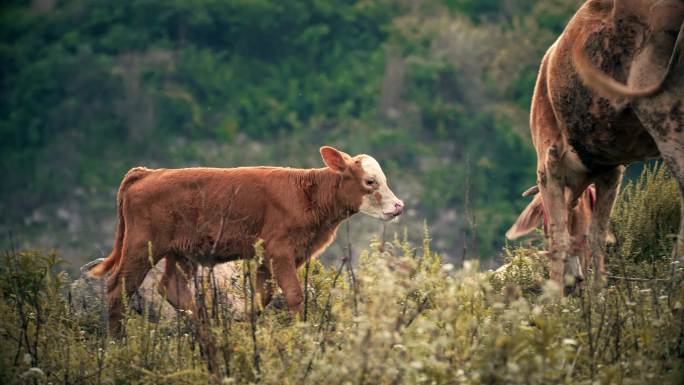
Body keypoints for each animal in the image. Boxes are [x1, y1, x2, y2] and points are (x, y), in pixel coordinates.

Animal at [88, 145, 404, 332]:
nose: (398, 206)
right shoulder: (279, 249)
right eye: (370, 182)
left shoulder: (270, 257)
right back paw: (117, 343)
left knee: (172, 287)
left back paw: (209, 328)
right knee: (118, 289)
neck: (309, 194)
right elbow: (294, 295)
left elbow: (262, 297)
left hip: (181, 253)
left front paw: (244, 324)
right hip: (142, 245)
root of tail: (146, 173)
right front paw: (303, 333)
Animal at [528, 0, 680, 290]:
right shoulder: (612, 171)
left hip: (662, 110)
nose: (573, 280)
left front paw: (554, 295)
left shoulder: (547, 166)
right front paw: (598, 290)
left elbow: (560, 237)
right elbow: (597, 234)